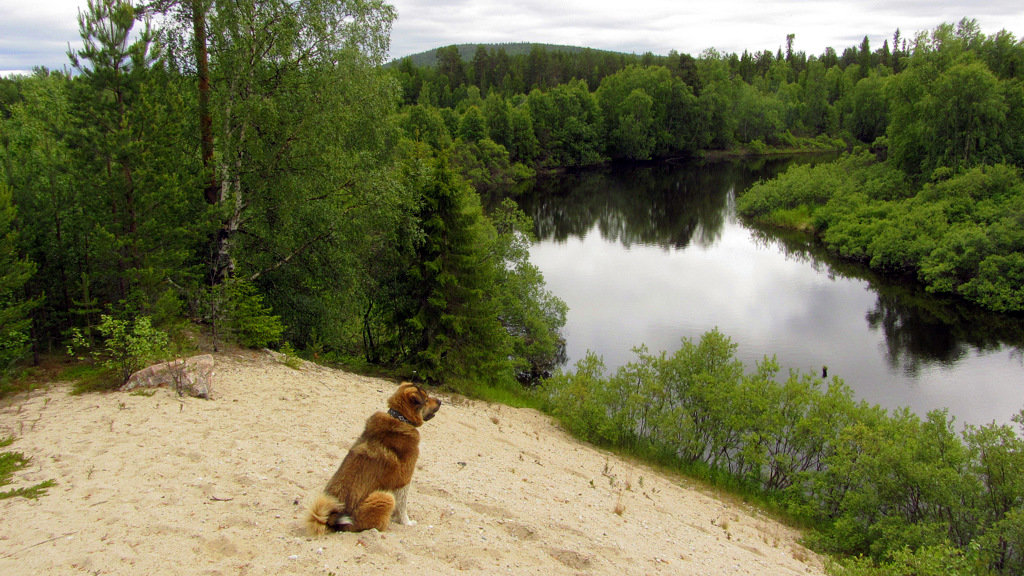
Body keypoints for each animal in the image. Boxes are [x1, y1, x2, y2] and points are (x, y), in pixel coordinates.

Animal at [307, 381, 444, 532]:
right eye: (426, 399)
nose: (440, 401)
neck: (400, 418)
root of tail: (331, 519)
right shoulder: (404, 478)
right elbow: (402, 506)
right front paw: (406, 522)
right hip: (385, 497)